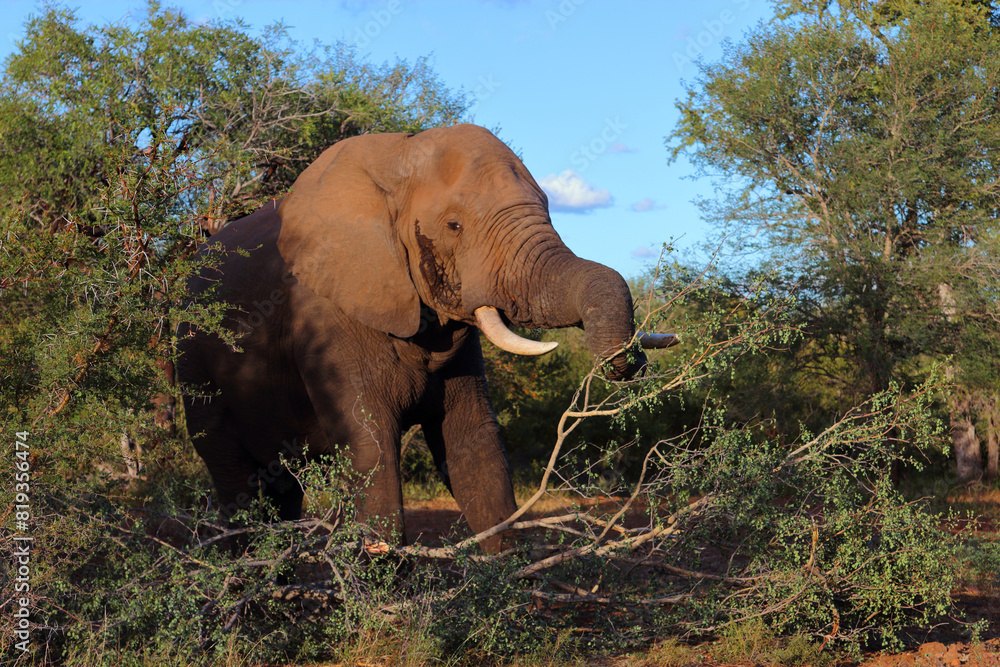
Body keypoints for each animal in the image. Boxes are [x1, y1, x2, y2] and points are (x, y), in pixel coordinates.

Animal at [177, 124, 674, 553]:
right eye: (454, 225)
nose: (628, 362)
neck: (396, 160)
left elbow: (475, 444)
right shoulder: (324, 314)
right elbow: (370, 446)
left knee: (282, 489)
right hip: (193, 366)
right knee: (236, 480)